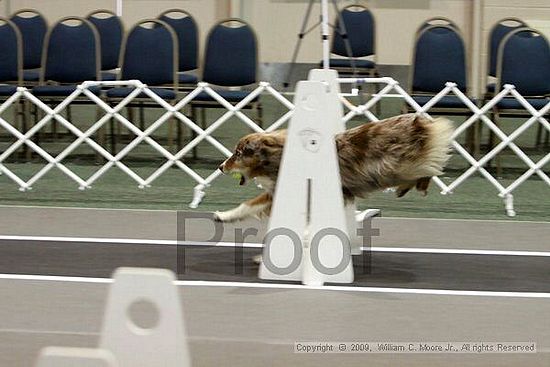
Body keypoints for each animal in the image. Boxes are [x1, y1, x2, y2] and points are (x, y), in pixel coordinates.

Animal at [215, 113, 452, 223]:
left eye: (237, 154)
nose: (220, 167)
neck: (275, 156)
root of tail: (419, 121)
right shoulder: (276, 192)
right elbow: (247, 205)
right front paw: (225, 216)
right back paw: (406, 189)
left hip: (394, 166)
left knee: (429, 168)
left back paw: (416, 186)